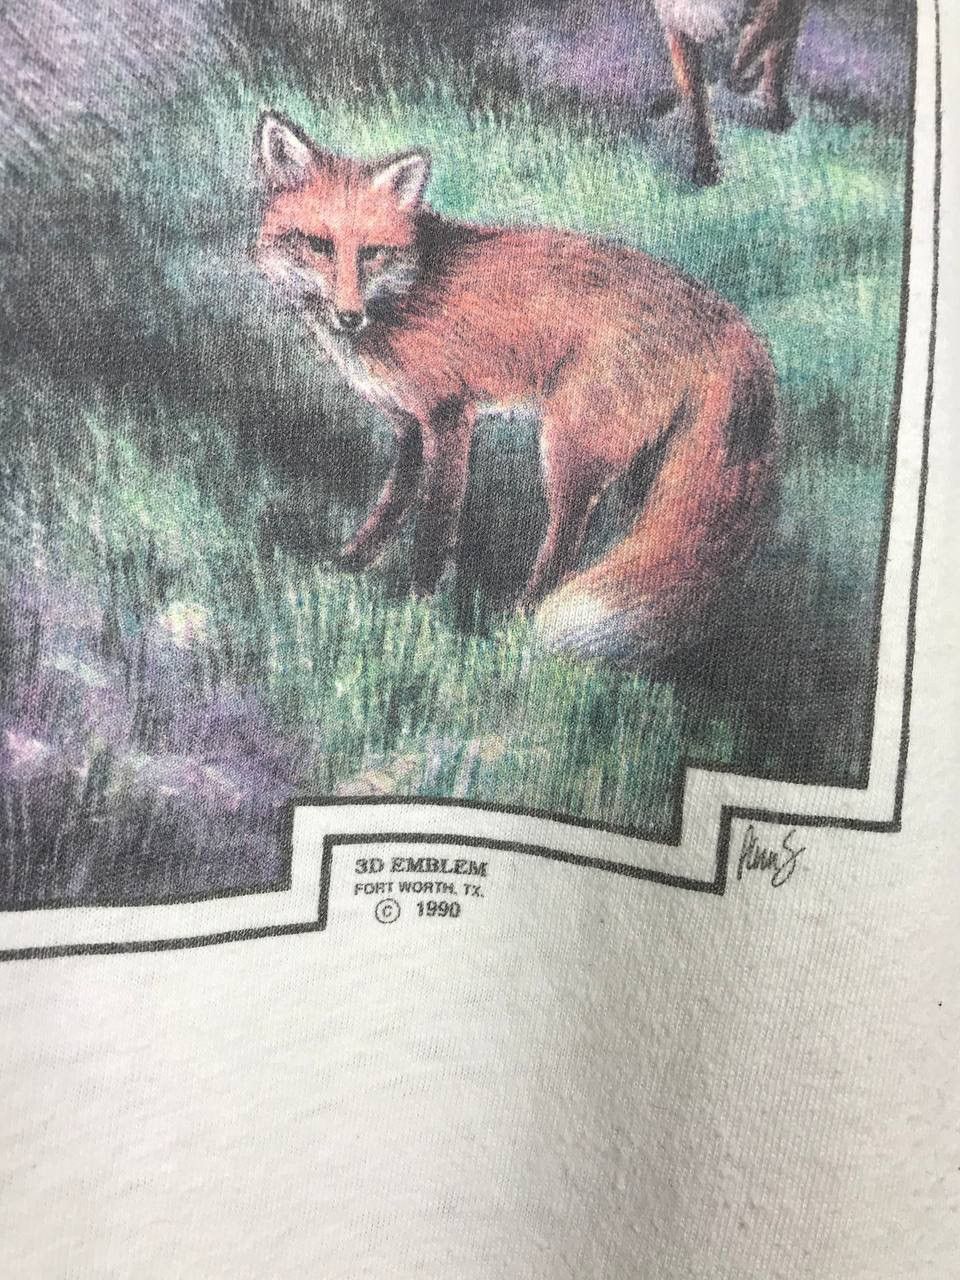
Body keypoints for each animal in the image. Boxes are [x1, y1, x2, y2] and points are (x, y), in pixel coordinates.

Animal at [251, 111, 778, 662]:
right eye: (319, 245)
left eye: (372, 252)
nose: (349, 316)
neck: (404, 290)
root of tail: (725, 316)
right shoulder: (409, 427)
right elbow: (390, 508)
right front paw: (348, 564)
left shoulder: (449, 416)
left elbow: (434, 527)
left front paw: (416, 609)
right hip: (645, 471)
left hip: (569, 449)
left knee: (566, 540)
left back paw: (519, 622)